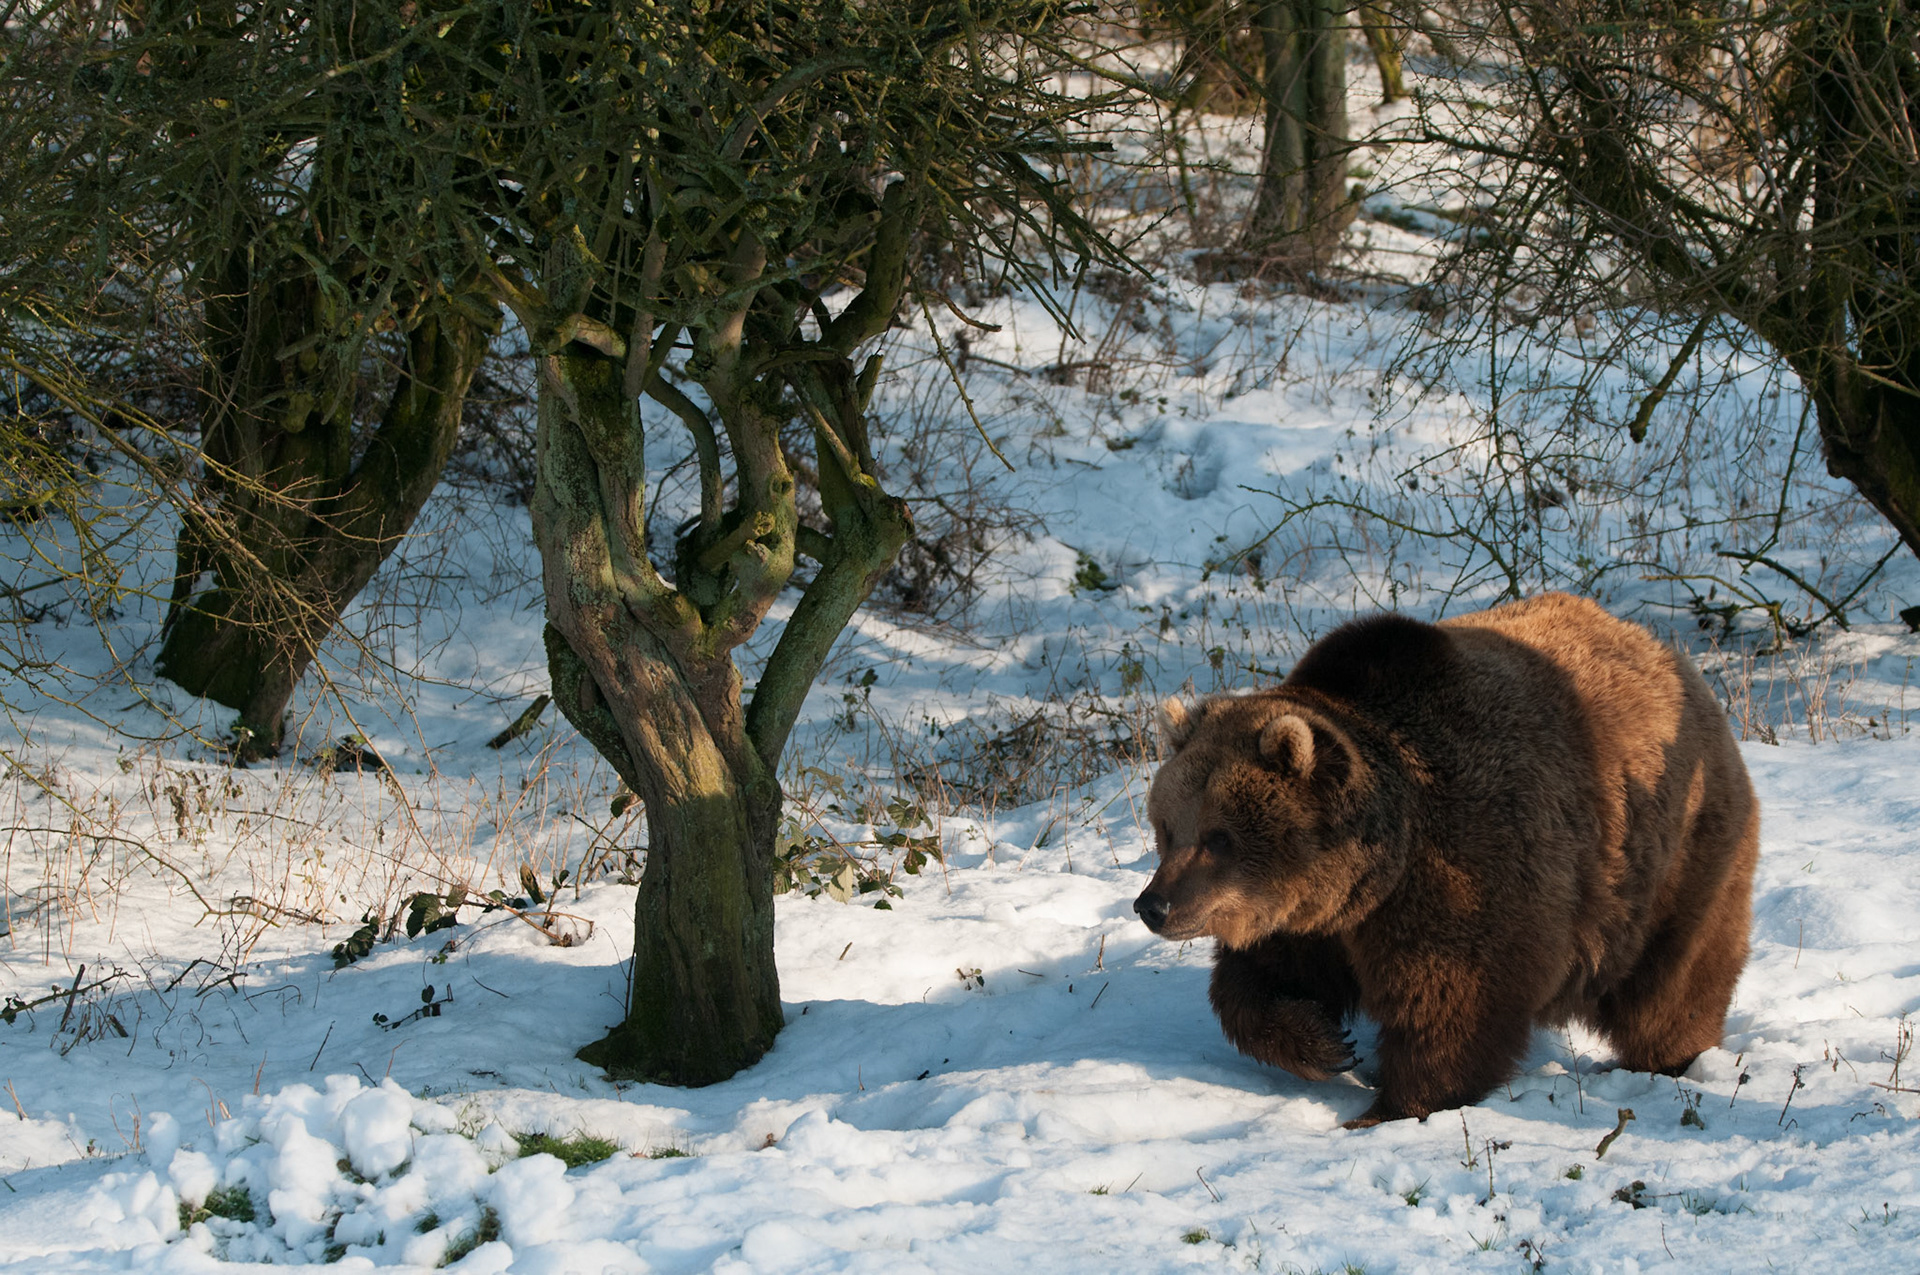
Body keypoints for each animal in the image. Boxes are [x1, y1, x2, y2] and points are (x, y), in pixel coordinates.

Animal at [1135, 592, 1759, 1127]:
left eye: (1219, 837)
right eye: (1167, 827)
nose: (1152, 905)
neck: (1374, 874)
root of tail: (1667, 655)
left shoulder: (1466, 873)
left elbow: (1452, 1004)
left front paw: (1391, 1108)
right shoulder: (1309, 920)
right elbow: (1255, 983)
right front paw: (1325, 1045)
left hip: (1670, 855)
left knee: (1674, 975)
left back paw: (1668, 1058)